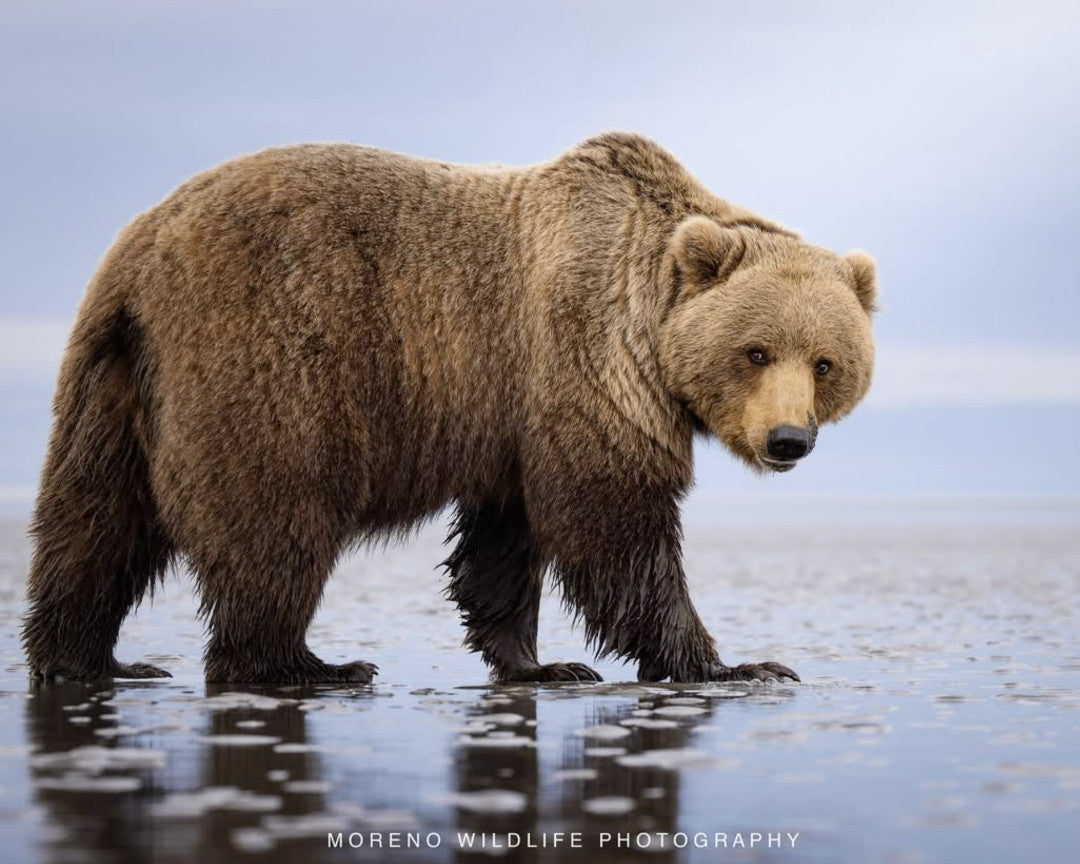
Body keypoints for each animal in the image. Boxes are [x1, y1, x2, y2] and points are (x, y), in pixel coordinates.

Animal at [22, 132, 877, 685]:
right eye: (755, 351)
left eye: (826, 362)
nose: (788, 439)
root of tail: (140, 252)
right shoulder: (583, 358)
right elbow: (612, 520)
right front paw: (738, 664)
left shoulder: (510, 412)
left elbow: (506, 538)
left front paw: (540, 663)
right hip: (267, 352)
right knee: (275, 517)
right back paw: (304, 664)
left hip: (112, 382)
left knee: (95, 523)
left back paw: (91, 659)